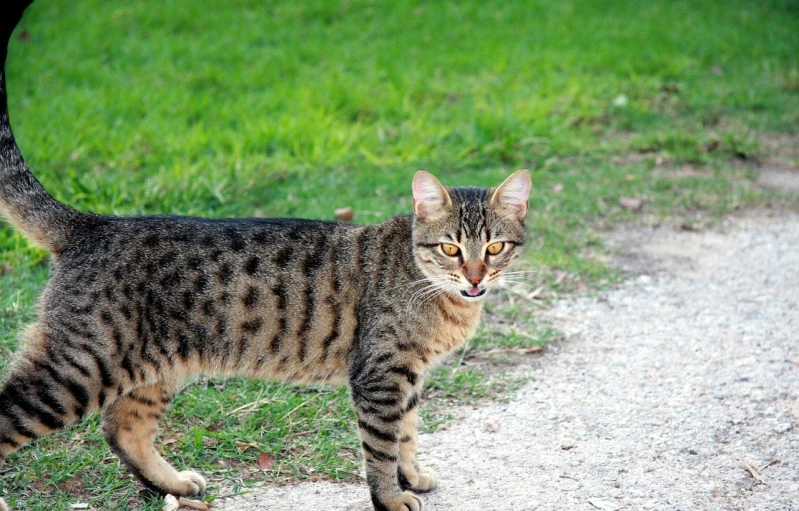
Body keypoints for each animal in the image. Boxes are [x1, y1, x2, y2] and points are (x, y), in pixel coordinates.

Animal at [0, 4, 532, 511]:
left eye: (494, 247)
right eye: (450, 248)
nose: (475, 278)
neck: (441, 298)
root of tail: (93, 223)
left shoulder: (409, 377)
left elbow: (408, 434)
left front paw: (413, 476)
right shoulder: (381, 376)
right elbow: (382, 447)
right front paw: (391, 497)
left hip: (154, 369)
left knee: (122, 428)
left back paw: (173, 483)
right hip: (79, 368)